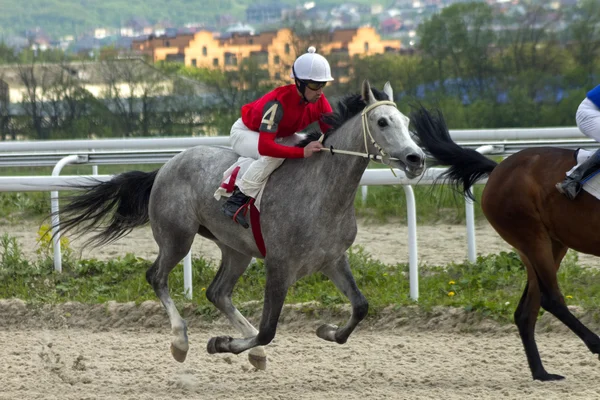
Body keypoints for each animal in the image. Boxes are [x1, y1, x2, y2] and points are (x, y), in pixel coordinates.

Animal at [55, 79, 422, 370]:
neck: (323, 191)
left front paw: (326, 330)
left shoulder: (332, 259)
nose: (416, 158)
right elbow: (268, 329)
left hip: (235, 248)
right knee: (157, 277)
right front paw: (222, 343)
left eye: (406, 120)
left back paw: (251, 352)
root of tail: (165, 167)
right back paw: (180, 341)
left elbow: (360, 306)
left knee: (217, 292)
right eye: (383, 121)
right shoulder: (279, 265)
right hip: (177, 237)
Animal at [410, 105, 600, 382]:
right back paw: (594, 346)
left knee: (526, 310)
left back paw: (541, 372)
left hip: (548, 244)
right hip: (531, 236)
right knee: (550, 299)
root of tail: (498, 170)